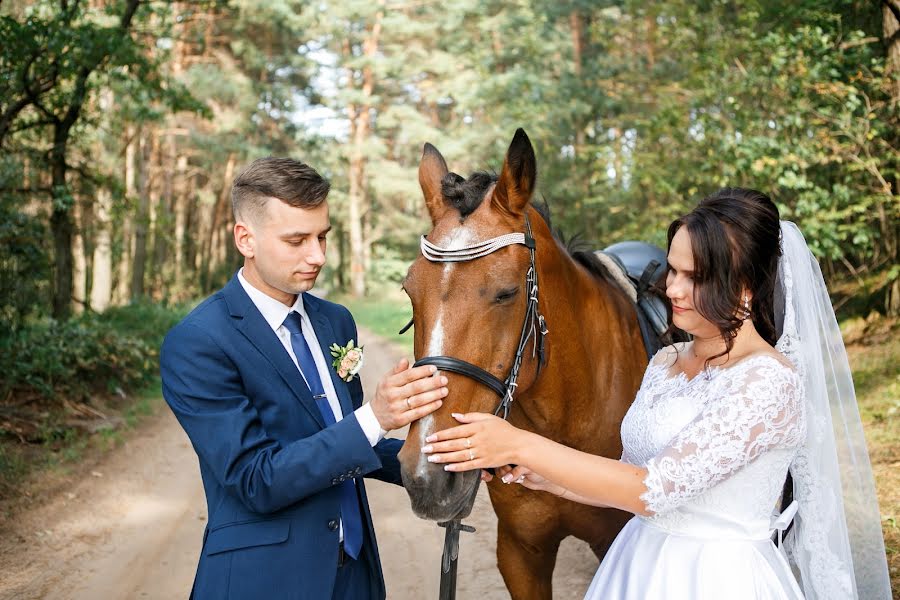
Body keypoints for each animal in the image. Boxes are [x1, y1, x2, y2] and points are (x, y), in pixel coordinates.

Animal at [398, 129, 652, 596]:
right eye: (410, 291)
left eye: (507, 292)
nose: (427, 474)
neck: (563, 424)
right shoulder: (520, 552)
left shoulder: (614, 546)